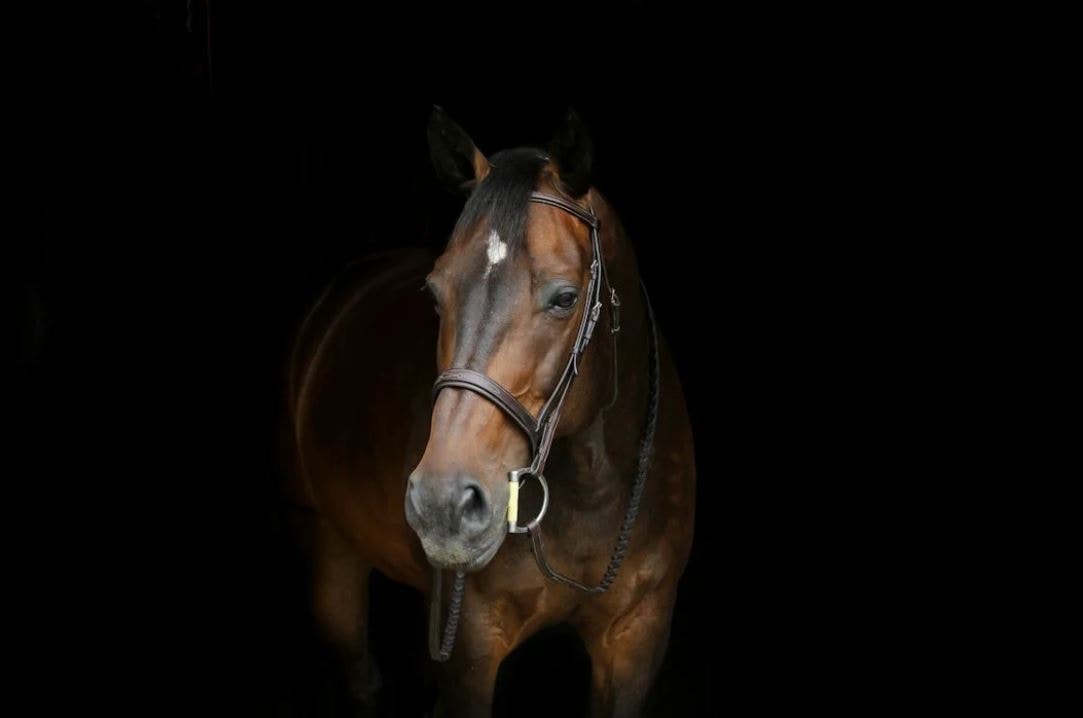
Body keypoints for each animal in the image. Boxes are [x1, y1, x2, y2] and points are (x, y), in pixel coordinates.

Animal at [287, 107, 696, 717]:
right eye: (435, 294)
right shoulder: (472, 654)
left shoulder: (636, 640)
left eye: (565, 298)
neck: (592, 492)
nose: (442, 503)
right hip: (328, 547)